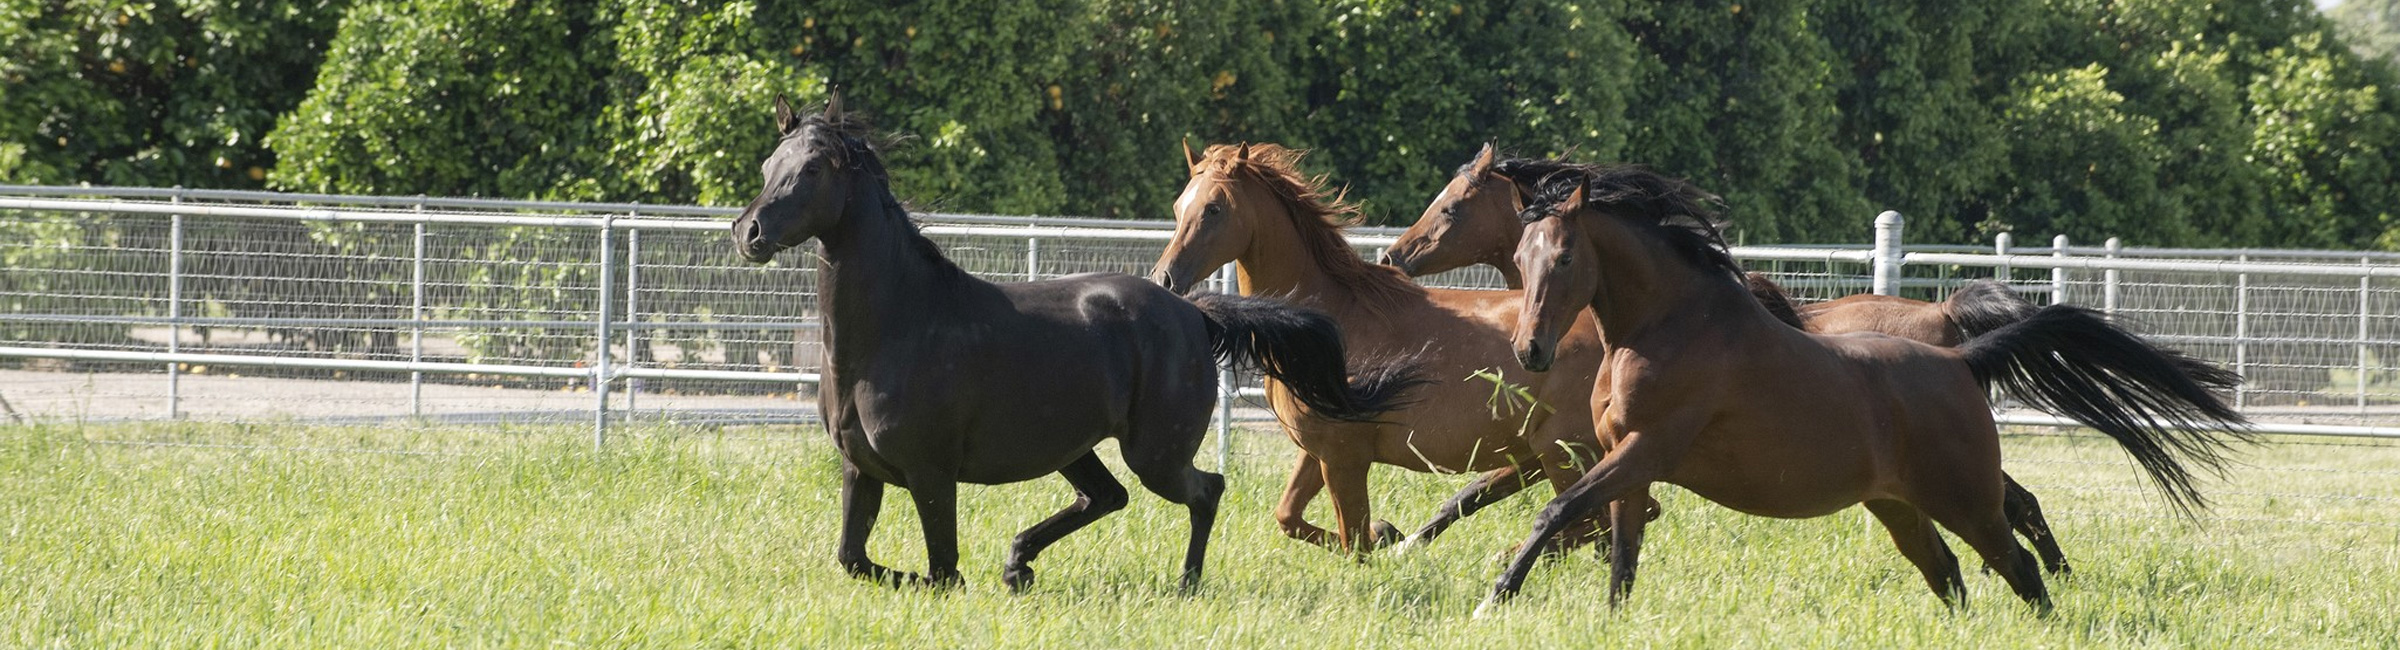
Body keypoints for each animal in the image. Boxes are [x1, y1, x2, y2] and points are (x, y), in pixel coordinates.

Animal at [720, 94, 1411, 594]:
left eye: (812, 169)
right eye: (769, 167)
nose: (747, 232)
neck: (898, 328)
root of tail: (1194, 313)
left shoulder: (930, 474)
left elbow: (942, 572)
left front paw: (944, 580)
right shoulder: (861, 469)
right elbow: (853, 558)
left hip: (1152, 451)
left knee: (1203, 489)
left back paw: (1184, 583)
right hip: (1075, 446)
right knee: (1106, 495)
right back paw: (1018, 565)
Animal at [1147, 141, 1632, 556]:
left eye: (1213, 208)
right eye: (1178, 207)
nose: (1164, 278)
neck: (1334, 319)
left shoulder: (1345, 456)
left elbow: (1354, 541)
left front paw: (1387, 540)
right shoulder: (1317, 451)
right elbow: (1290, 517)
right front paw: (1392, 534)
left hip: (1565, 454)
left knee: (1596, 521)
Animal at [1401, 143, 2083, 575]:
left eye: (1452, 206)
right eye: (1521, 255)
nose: (1395, 255)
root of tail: (1948, 317)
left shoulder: (1582, 448)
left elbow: (1570, 515)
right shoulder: (1563, 449)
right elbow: (1471, 498)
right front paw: (1409, 547)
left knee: (2011, 505)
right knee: (2011, 504)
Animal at [1478, 163, 2246, 618]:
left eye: (1565, 257)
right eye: (1518, 255)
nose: (1530, 350)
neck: (1669, 329)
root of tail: (1962, 360)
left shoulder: (1646, 451)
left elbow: (1555, 514)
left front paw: (1494, 600)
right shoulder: (1628, 466)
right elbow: (1621, 562)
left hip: (1967, 499)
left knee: (2019, 565)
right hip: (1899, 506)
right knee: (1950, 574)